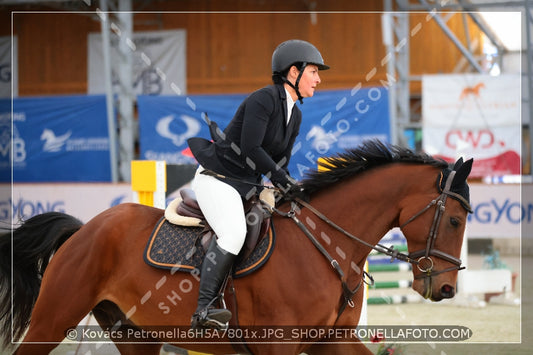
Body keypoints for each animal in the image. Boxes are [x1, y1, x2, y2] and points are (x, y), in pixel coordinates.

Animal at [1, 140, 474, 354]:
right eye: (454, 219)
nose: (446, 289)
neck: (327, 245)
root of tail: (85, 229)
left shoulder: (332, 339)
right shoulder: (278, 345)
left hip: (135, 334)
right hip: (52, 319)